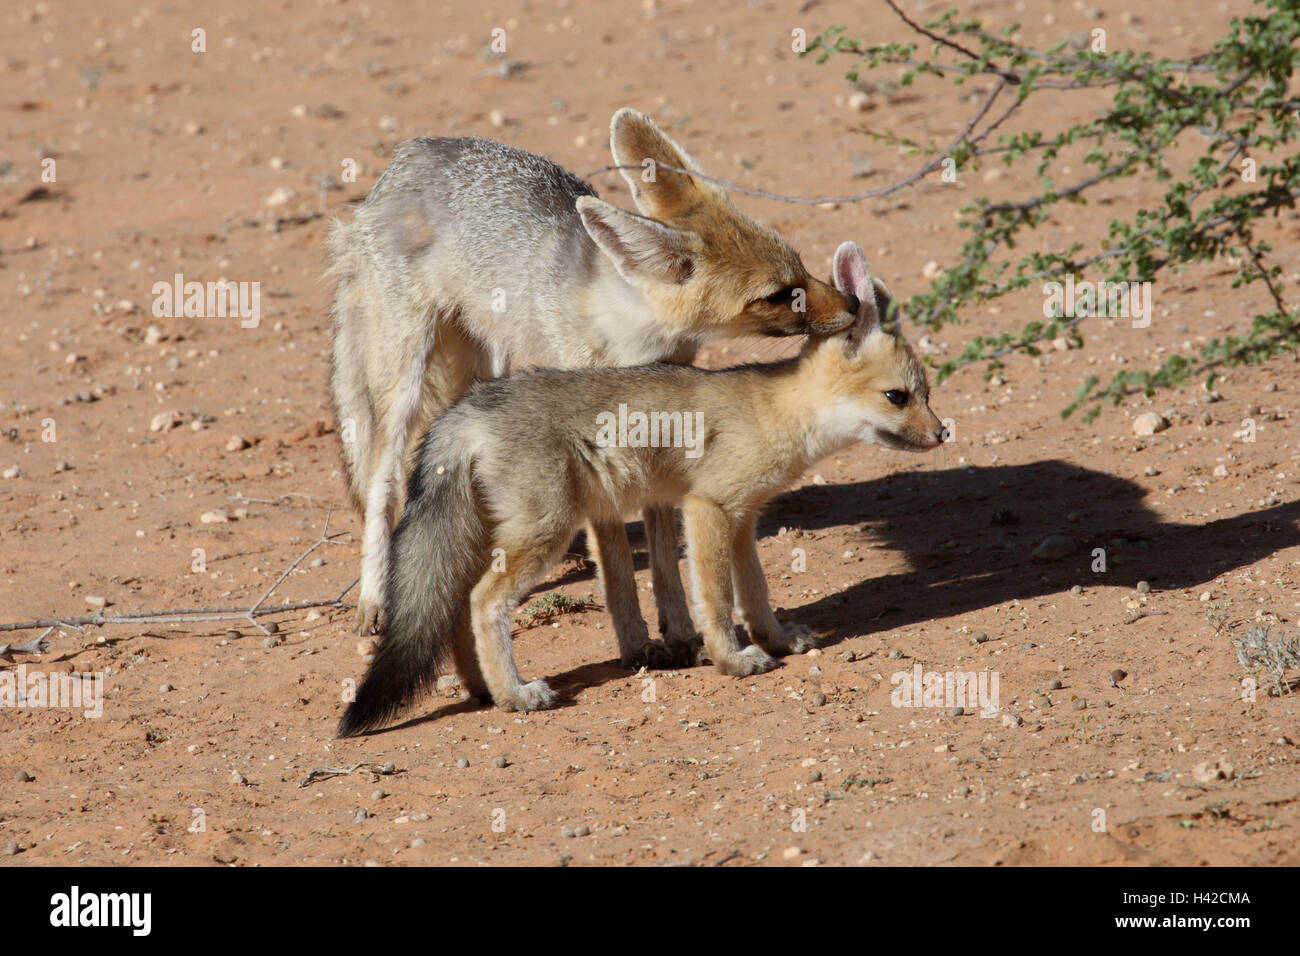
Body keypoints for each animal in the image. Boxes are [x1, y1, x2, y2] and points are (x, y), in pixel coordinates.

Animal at [327, 109, 860, 665]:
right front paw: (636, 641)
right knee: (383, 485)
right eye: (779, 295)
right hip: (404, 377)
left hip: (485, 364)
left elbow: (664, 549)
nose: (854, 305)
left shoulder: (662, 420)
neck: (634, 339)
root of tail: (412, 150)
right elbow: (617, 554)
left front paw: (680, 630)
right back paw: (375, 596)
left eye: (802, 268)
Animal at [336, 242, 946, 736]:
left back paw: (485, 690)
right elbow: (717, 600)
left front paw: (774, 638)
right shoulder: (706, 508)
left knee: (456, 607)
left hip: (495, 536)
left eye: (927, 394)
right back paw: (516, 694)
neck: (774, 408)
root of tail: (466, 409)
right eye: (897, 398)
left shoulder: (742, 519)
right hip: (546, 532)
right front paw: (731, 659)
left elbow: (756, 593)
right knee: (483, 602)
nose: (943, 433)